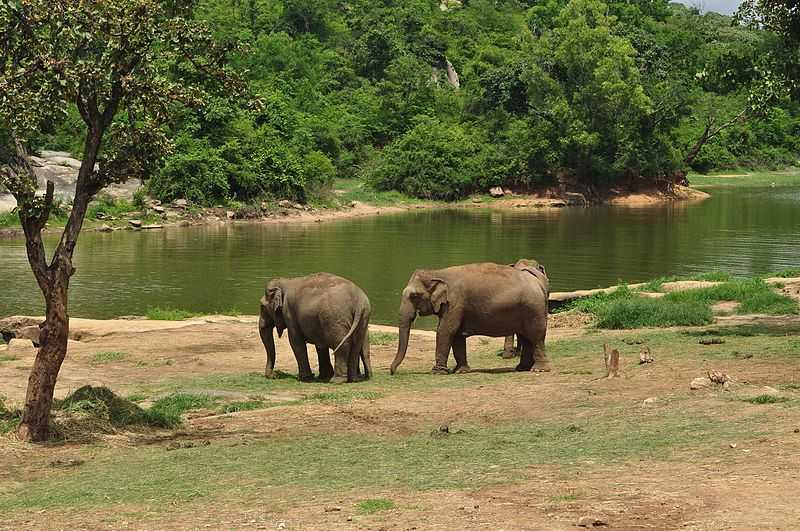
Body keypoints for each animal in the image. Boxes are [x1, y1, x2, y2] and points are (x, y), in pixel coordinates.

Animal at [388, 262, 552, 374]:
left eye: (414, 296)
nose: (392, 372)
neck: (437, 272)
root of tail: (538, 282)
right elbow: (457, 335)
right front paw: (460, 371)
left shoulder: (454, 303)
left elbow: (446, 330)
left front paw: (438, 372)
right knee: (526, 337)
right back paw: (521, 368)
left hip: (533, 309)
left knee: (536, 336)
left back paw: (539, 370)